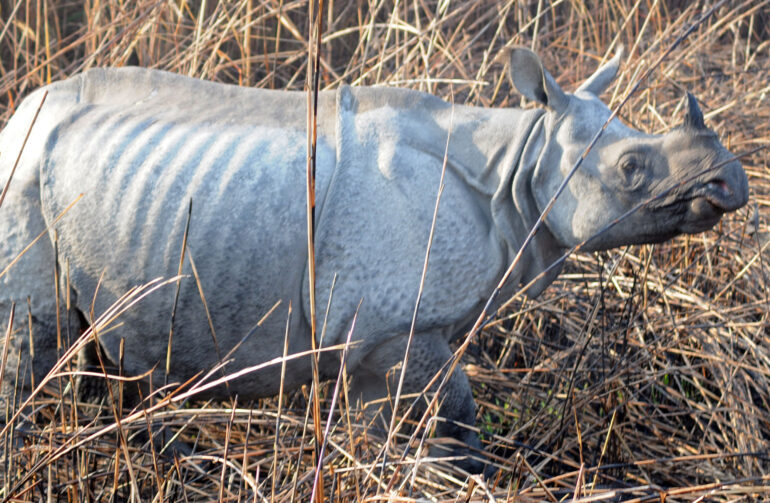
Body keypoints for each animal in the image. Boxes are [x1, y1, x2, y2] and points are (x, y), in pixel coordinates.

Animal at [0, 48, 748, 473]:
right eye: (631, 168)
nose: (732, 182)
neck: (517, 164)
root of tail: (22, 110)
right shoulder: (392, 327)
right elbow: (454, 416)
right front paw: (458, 479)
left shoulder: (375, 336)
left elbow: (392, 426)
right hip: (22, 170)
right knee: (31, 339)